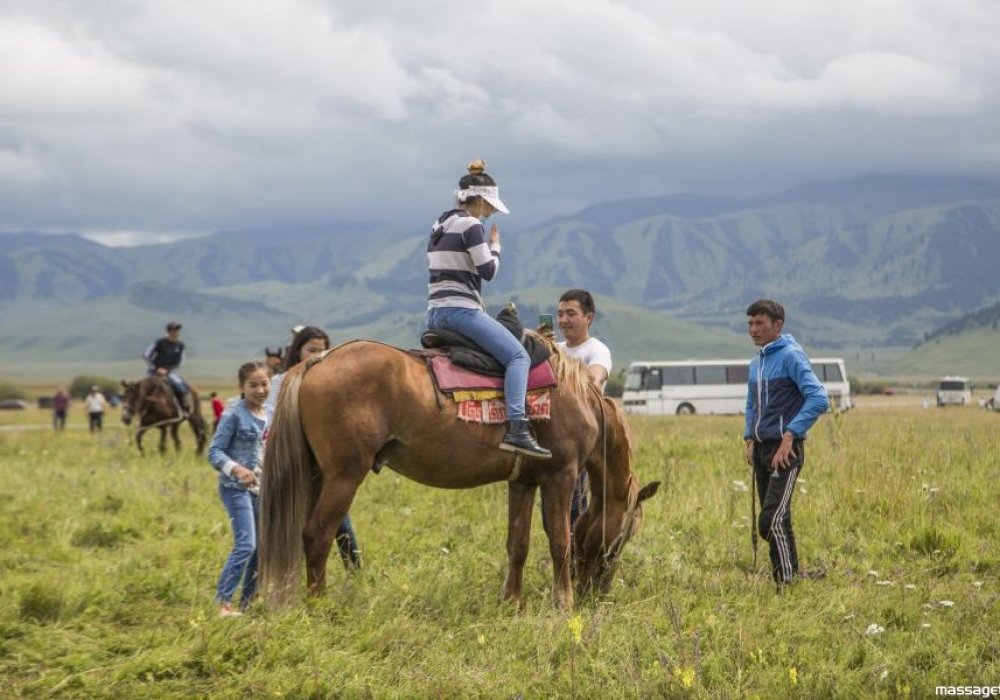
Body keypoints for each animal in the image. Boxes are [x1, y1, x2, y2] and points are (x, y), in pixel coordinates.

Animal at [262, 340, 660, 608]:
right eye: (627, 533)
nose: (598, 592)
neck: (581, 401)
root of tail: (317, 361)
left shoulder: (523, 481)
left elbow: (518, 543)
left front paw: (511, 602)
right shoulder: (560, 476)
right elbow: (560, 540)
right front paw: (562, 604)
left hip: (317, 477)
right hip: (343, 477)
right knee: (317, 536)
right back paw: (320, 606)